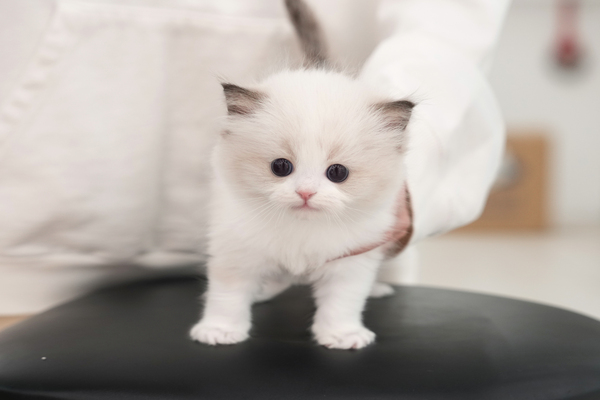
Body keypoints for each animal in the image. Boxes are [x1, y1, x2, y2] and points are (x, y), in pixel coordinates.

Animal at [189, 0, 414, 350]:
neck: (301, 232)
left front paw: (341, 335)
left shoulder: (351, 260)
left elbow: (342, 303)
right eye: (281, 167)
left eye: (337, 173)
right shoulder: (234, 250)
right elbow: (227, 297)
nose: (306, 193)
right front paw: (220, 330)